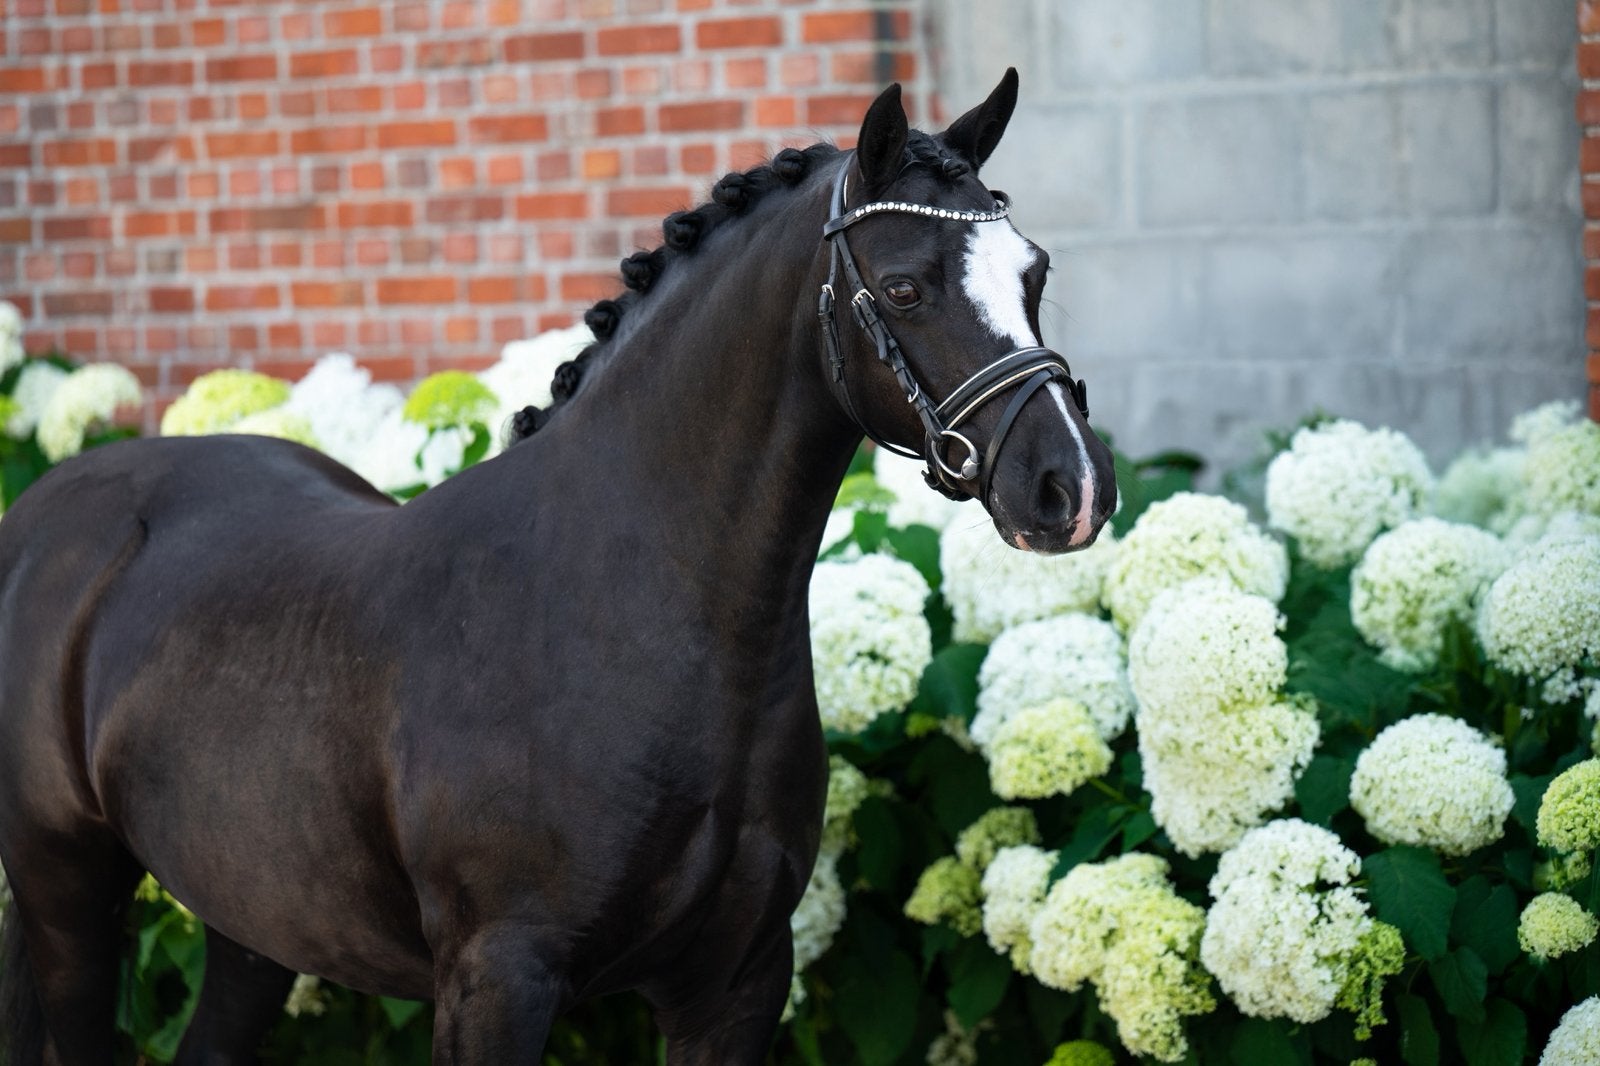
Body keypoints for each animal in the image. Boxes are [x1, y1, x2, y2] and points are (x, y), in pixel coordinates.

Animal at [0, 71, 1115, 1064]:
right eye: (902, 287)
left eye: (1035, 274)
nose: (1071, 487)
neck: (627, 601)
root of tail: (45, 510)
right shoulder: (498, 983)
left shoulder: (737, 984)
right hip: (67, 895)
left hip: (257, 916)